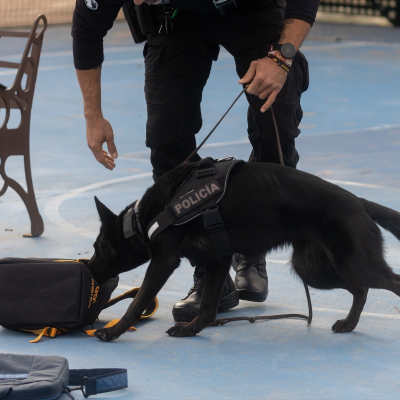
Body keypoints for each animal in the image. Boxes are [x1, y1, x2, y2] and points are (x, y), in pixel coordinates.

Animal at [89, 161, 400, 342]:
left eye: (96, 247)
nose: (89, 269)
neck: (141, 219)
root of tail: (359, 201)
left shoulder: (164, 261)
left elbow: (137, 301)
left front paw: (113, 331)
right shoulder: (216, 261)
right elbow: (207, 306)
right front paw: (193, 330)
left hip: (353, 265)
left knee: (389, 282)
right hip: (316, 272)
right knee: (361, 290)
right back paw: (349, 323)